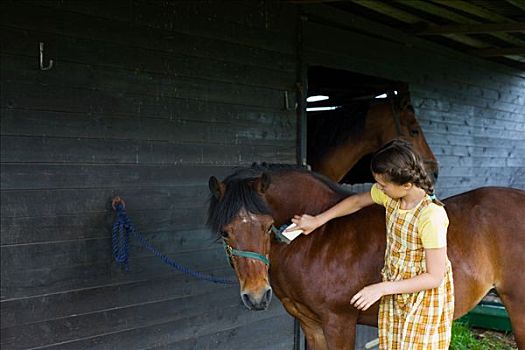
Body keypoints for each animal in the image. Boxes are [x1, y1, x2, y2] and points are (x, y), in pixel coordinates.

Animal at [208, 165, 524, 350]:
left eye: (266, 226)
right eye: (225, 232)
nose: (257, 297)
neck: (319, 237)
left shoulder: (339, 323)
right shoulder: (311, 325)